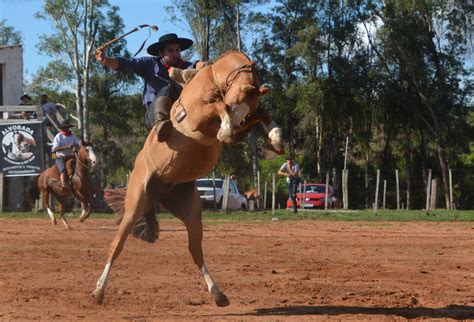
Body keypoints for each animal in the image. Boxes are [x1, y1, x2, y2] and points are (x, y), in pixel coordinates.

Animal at [91, 51, 284, 306]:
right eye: (235, 98)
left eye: (246, 106)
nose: (232, 128)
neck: (210, 81)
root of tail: (159, 190)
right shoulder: (199, 117)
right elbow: (219, 106)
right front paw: (227, 130)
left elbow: (263, 113)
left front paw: (276, 139)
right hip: (135, 204)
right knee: (116, 245)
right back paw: (98, 291)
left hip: (191, 212)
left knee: (195, 251)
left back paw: (218, 294)